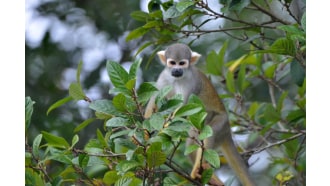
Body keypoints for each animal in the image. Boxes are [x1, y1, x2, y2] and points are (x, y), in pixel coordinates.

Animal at [144, 42, 255, 185]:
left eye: (182, 63)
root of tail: (227, 133)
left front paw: (164, 128)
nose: (176, 70)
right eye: (172, 63)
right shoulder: (163, 77)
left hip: (222, 121)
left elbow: (184, 106)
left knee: (210, 132)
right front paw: (145, 136)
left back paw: (201, 168)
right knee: (192, 143)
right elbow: (153, 101)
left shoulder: (193, 81)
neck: (178, 78)